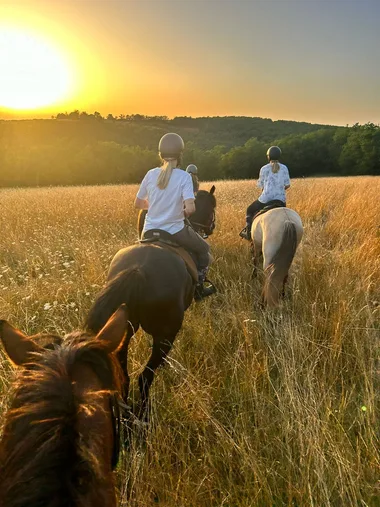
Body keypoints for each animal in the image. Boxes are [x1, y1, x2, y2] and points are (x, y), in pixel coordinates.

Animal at [86, 186, 217, 420]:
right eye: (213, 207)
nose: (211, 227)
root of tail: (138, 270)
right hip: (165, 335)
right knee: (145, 376)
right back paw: (144, 414)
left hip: (122, 332)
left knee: (125, 377)